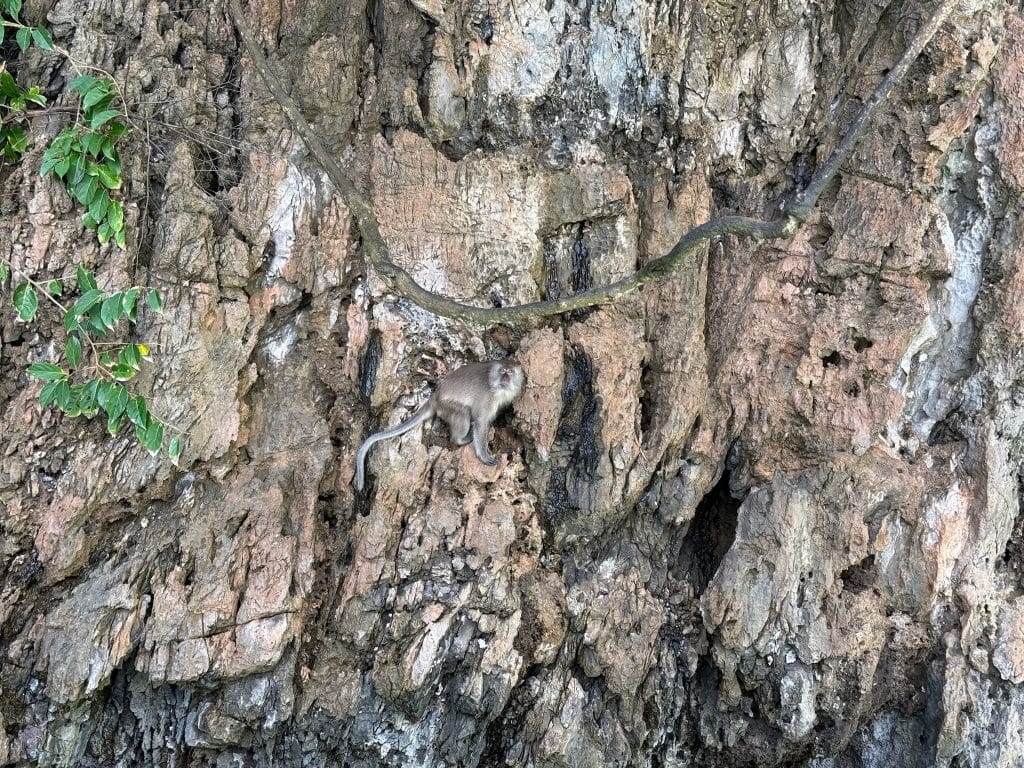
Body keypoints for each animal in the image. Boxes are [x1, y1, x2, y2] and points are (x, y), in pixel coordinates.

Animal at [354, 360, 525, 491]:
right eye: (502, 370)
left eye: (509, 372)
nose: (505, 377)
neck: (496, 387)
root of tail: (434, 397)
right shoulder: (487, 399)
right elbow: (480, 421)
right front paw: (483, 454)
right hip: (446, 406)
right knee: (464, 412)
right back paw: (460, 439)